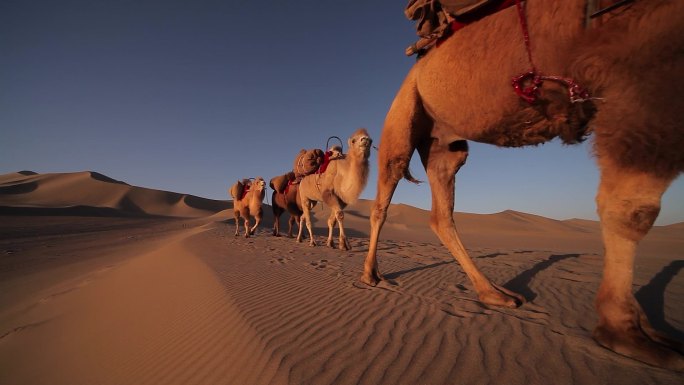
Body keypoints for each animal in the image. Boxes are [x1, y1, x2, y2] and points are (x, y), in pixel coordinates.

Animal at [360, 1, 684, 370]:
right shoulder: (638, 72)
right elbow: (631, 209)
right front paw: (625, 333)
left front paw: (644, 330)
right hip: (403, 116)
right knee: (385, 195)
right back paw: (370, 275)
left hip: (444, 143)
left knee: (440, 213)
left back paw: (495, 293)